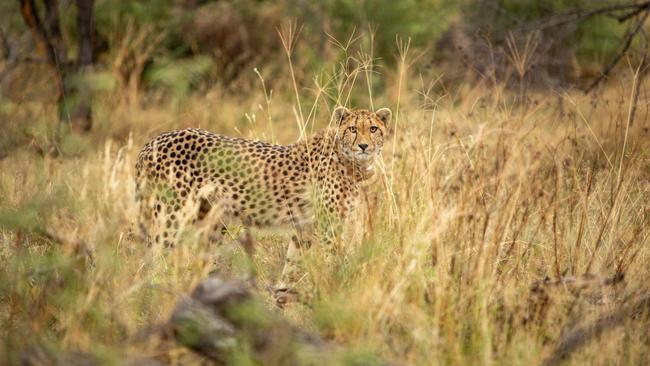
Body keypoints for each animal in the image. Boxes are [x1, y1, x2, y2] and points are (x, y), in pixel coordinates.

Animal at [134, 106, 390, 304]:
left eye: (373, 129)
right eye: (353, 129)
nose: (364, 146)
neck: (347, 158)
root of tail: (156, 140)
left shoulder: (304, 226)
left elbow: (292, 263)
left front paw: (282, 298)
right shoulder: (329, 226)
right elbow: (333, 260)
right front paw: (335, 292)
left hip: (209, 222)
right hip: (173, 217)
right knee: (152, 261)